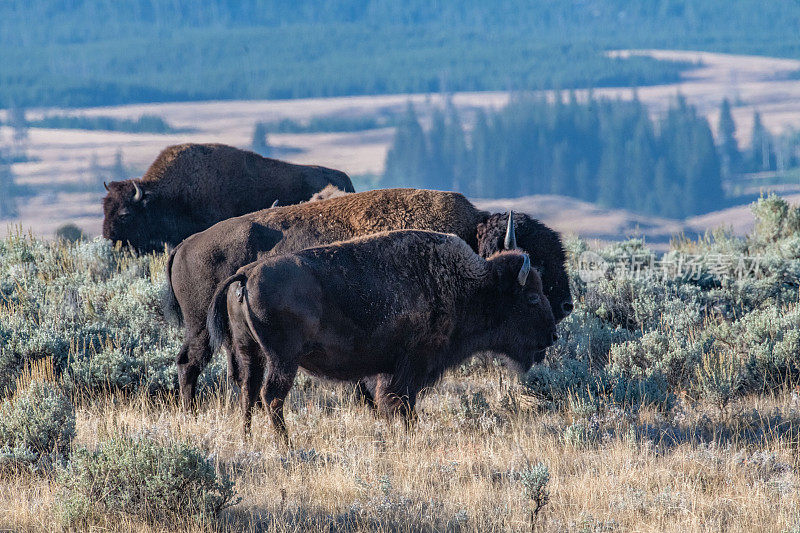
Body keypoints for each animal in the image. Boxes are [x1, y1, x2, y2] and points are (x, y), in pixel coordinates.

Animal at [166, 187, 572, 408]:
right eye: (537, 259)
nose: (566, 305)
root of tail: (185, 246)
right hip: (202, 330)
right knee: (190, 364)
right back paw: (189, 412)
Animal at [206, 227, 556, 438]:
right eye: (532, 297)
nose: (552, 336)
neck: (468, 285)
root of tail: (247, 273)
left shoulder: (390, 370)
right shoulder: (410, 367)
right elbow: (401, 404)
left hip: (249, 352)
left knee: (248, 392)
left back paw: (248, 440)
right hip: (283, 359)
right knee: (271, 397)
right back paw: (287, 446)